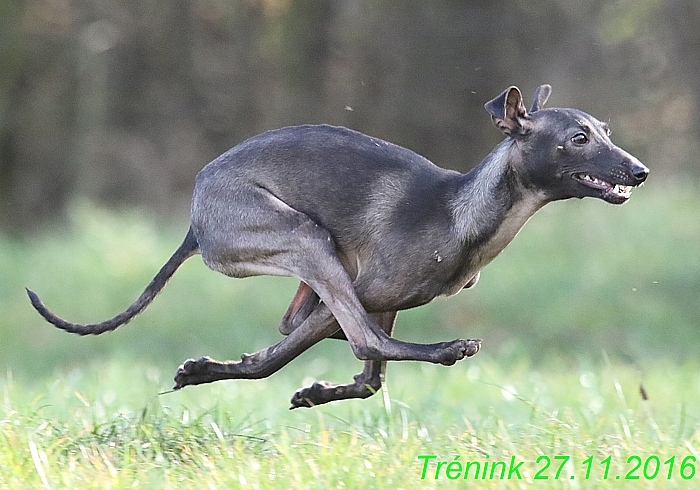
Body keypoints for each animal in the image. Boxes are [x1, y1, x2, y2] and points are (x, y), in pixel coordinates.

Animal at [28, 86, 652, 408]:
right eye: (578, 139)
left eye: (607, 131)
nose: (640, 172)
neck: (463, 210)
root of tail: (196, 215)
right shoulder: (362, 291)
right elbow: (342, 351)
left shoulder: (378, 298)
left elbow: (363, 377)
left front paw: (302, 389)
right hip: (305, 240)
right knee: (360, 339)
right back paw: (449, 348)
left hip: (312, 265)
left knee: (324, 335)